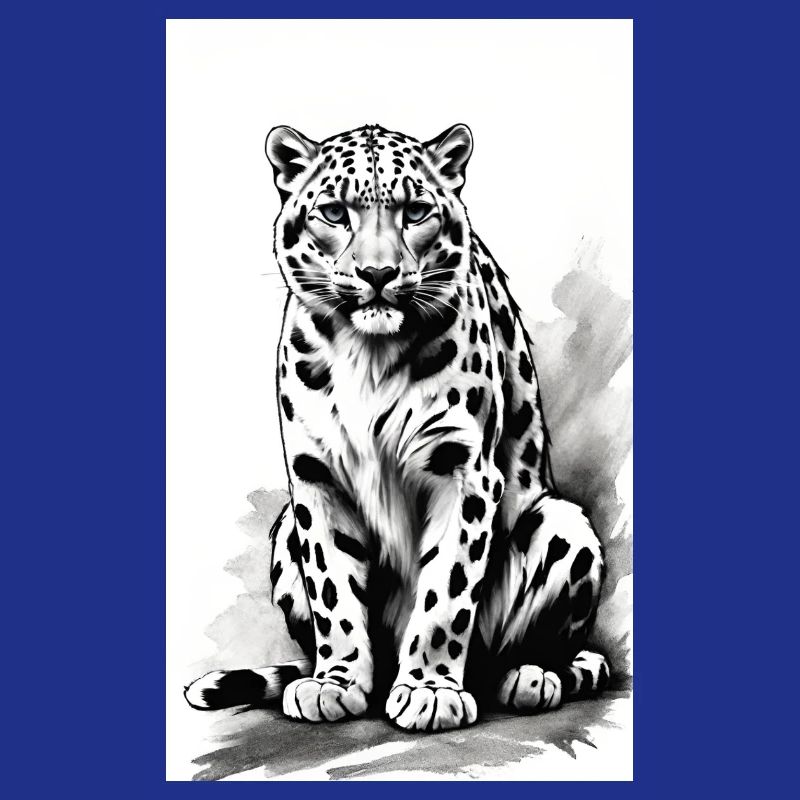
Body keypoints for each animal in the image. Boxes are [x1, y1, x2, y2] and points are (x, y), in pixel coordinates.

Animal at [184, 123, 610, 731]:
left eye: (415, 211)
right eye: (334, 212)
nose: (378, 274)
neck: (369, 356)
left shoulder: (464, 470)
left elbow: (446, 591)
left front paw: (430, 690)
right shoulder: (316, 478)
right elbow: (333, 586)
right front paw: (336, 683)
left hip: (562, 524)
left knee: (536, 646)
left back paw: (529, 676)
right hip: (285, 526)